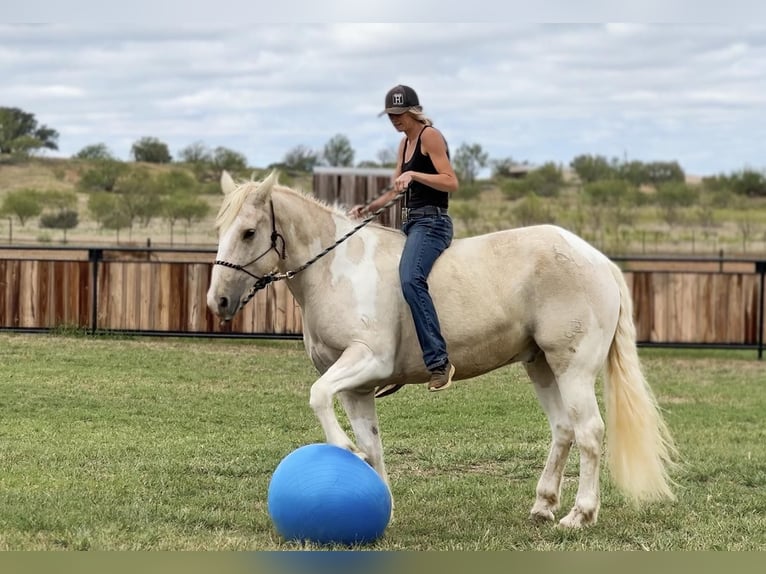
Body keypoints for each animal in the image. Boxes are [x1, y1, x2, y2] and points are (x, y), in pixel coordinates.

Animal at [206, 172, 680, 532]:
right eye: (220, 231)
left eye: (249, 232)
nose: (218, 302)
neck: (336, 268)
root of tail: (598, 260)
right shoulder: (357, 388)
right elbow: (371, 444)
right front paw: (381, 504)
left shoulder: (366, 360)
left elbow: (318, 396)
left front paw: (344, 449)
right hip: (542, 366)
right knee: (563, 430)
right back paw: (543, 506)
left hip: (573, 367)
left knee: (590, 433)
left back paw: (580, 514)